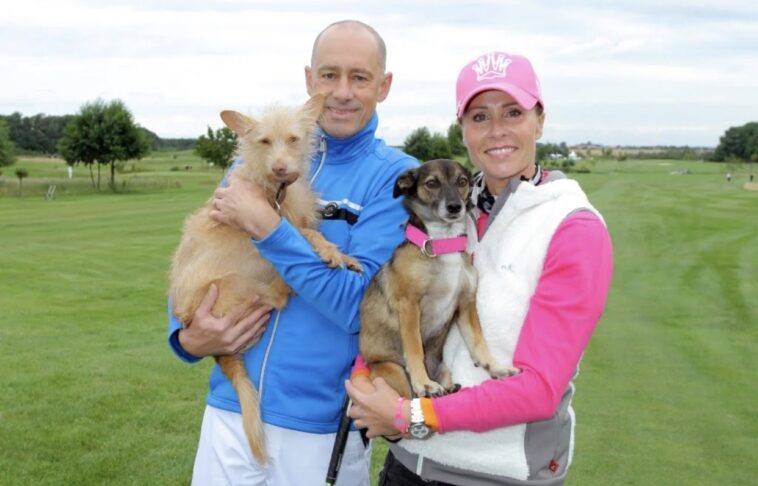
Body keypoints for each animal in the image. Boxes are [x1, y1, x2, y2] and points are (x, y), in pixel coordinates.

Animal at [359, 159, 517, 398]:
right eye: (432, 183)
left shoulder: (466, 305)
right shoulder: (409, 305)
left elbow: (478, 341)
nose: (455, 207)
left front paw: (496, 366)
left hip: (445, 371)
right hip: (394, 372)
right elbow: (414, 346)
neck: (443, 244)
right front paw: (423, 383)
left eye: (462, 182)